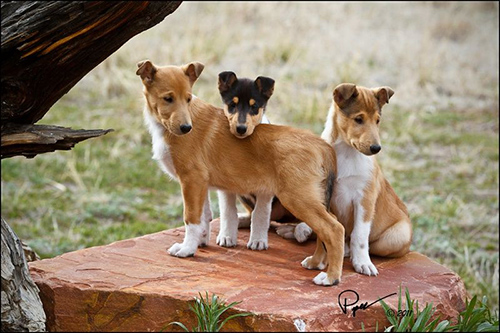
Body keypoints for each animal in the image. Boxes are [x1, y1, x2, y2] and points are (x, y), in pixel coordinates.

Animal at [276, 83, 412, 274]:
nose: (376, 148)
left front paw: (362, 263)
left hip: (398, 235)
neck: (347, 153)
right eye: (358, 119)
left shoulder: (364, 199)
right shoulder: (326, 192)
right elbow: (325, 230)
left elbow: (359, 235)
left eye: (377, 120)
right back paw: (298, 229)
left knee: (359, 241)